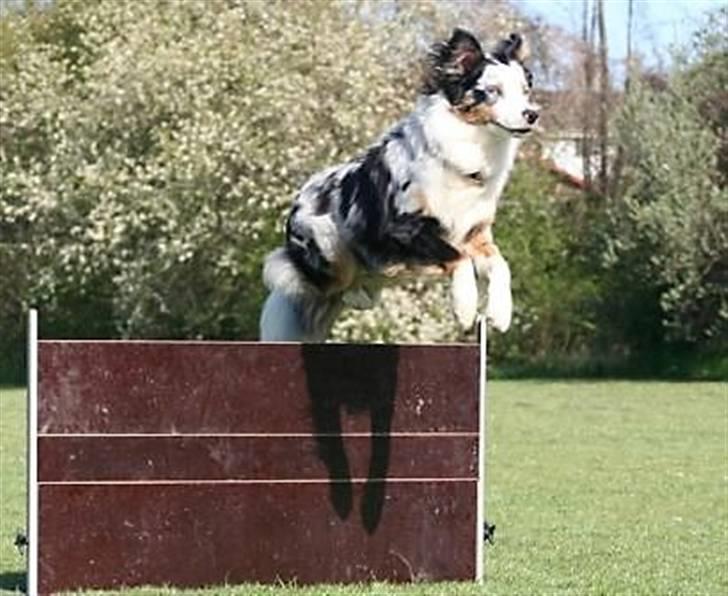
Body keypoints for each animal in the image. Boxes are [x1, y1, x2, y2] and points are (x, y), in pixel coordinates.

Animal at [258, 29, 536, 340]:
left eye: (525, 90)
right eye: (493, 91)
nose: (532, 114)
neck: (471, 147)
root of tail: (297, 202)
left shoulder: (475, 233)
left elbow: (500, 265)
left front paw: (500, 313)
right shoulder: (403, 226)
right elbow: (458, 256)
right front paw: (464, 308)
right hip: (328, 244)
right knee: (314, 279)